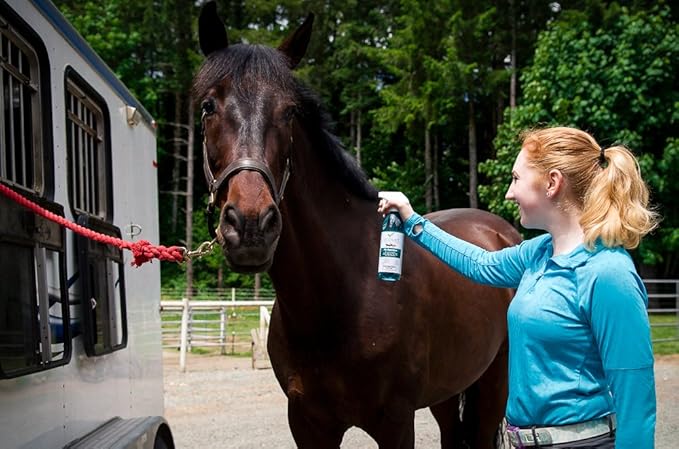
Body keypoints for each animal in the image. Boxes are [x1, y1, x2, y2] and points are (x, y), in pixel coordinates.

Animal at [194, 2, 524, 444]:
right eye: (208, 106)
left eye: (289, 112)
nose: (250, 226)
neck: (338, 297)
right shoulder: (308, 423)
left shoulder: (396, 423)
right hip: (446, 390)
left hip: (493, 383)